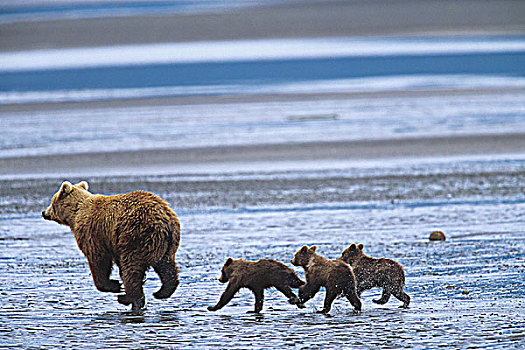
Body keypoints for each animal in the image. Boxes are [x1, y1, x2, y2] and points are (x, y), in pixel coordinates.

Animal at [42, 182, 180, 310]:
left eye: (52, 201)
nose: (44, 212)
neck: (76, 213)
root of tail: (164, 219)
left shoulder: (94, 234)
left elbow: (99, 260)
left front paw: (114, 285)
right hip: (166, 243)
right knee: (166, 266)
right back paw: (162, 292)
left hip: (136, 235)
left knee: (131, 267)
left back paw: (127, 297)